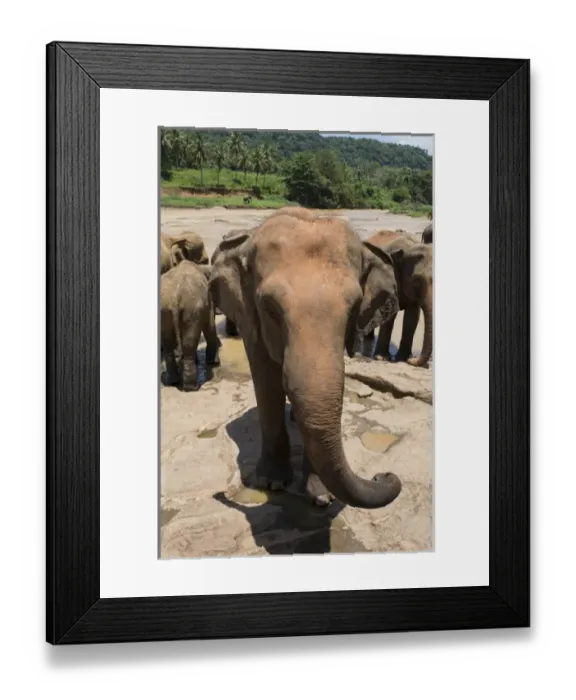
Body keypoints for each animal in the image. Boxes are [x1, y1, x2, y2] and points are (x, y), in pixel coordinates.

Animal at [160, 260, 221, 391]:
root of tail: (174, 298)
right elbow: (210, 327)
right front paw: (213, 363)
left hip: (164, 310)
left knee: (168, 343)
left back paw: (174, 381)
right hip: (192, 308)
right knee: (189, 342)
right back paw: (192, 387)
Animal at [209, 207, 404, 509]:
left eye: (354, 309)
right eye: (269, 308)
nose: (384, 475)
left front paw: (321, 496)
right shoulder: (250, 317)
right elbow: (267, 380)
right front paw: (270, 484)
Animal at [362, 230, 433, 368]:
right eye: (418, 280)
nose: (413, 359)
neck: (410, 247)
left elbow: (412, 317)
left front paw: (403, 358)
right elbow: (390, 313)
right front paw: (382, 358)